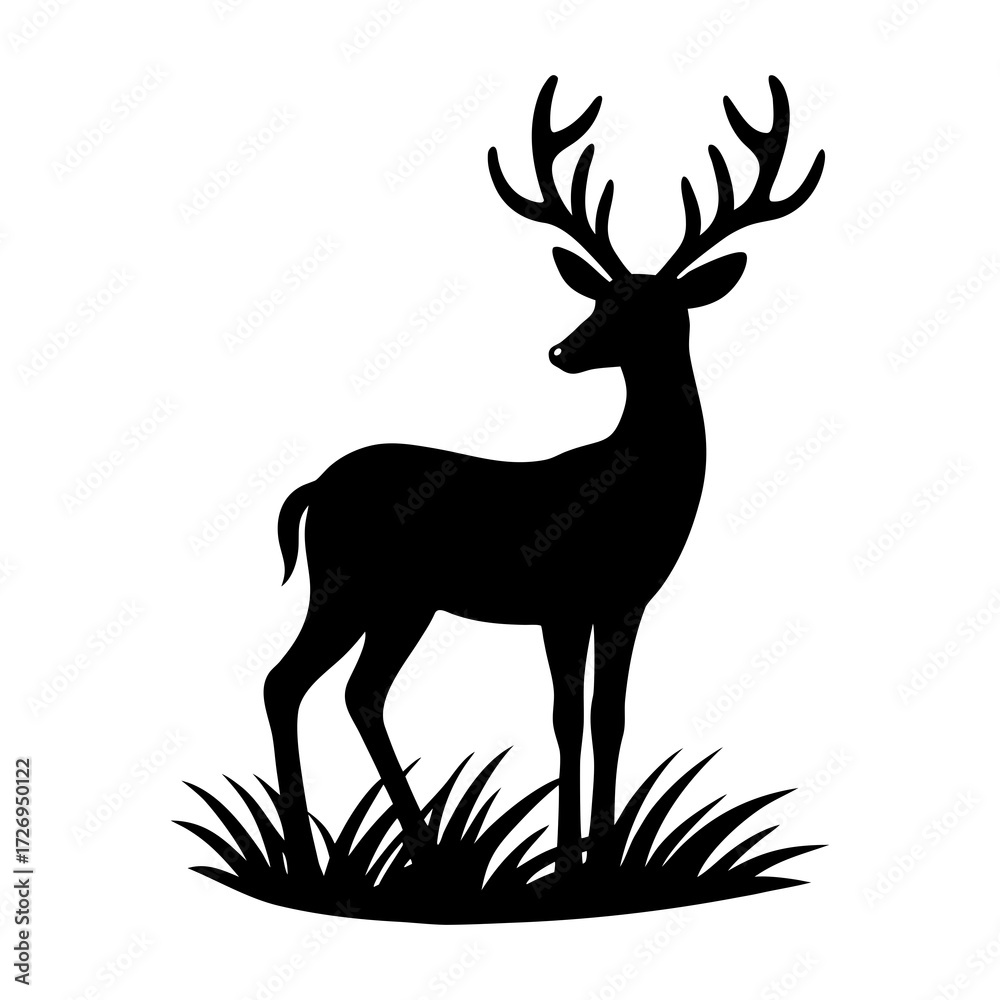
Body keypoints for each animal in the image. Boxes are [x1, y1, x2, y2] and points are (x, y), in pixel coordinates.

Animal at [263, 75, 824, 873]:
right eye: (599, 295)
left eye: (652, 305)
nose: (561, 350)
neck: (631, 493)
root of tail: (313, 489)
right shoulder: (560, 596)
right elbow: (564, 718)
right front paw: (565, 861)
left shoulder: (625, 601)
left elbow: (608, 717)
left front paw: (604, 855)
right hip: (347, 579)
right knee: (287, 682)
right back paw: (313, 855)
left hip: (405, 602)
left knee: (360, 693)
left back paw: (423, 847)